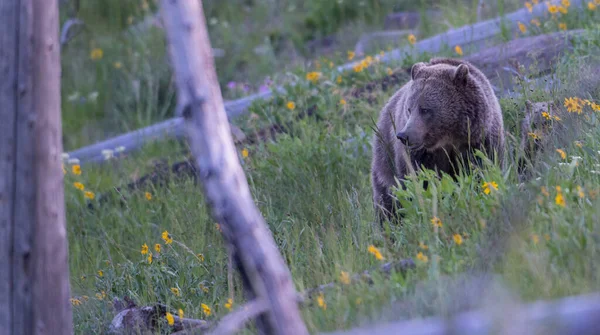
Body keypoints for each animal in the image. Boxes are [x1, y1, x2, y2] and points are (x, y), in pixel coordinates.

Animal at [370, 57, 506, 223]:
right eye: (409, 109)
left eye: (425, 109)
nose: (403, 135)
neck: (448, 138)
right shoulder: (419, 156)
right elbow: (421, 181)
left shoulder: (479, 139)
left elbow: (483, 169)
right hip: (385, 156)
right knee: (387, 196)